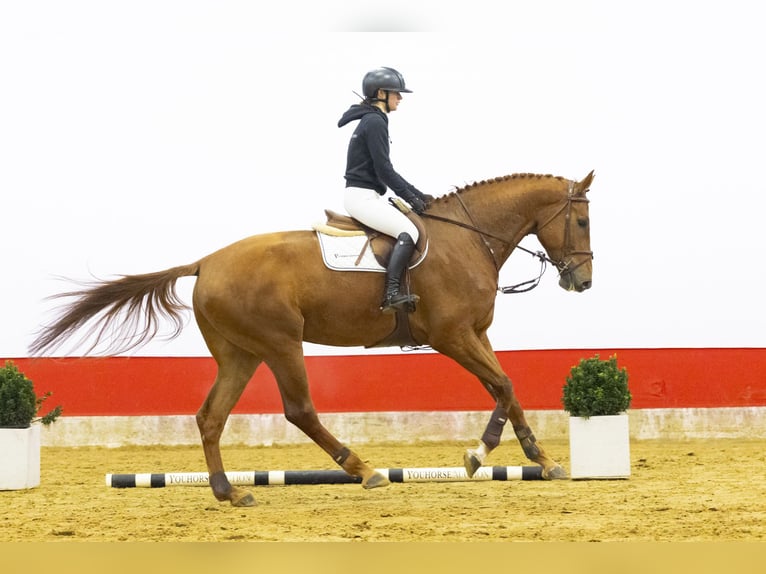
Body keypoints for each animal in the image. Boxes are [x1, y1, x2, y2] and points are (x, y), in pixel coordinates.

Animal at [30, 171, 594, 507]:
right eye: (584, 220)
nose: (582, 282)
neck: (467, 238)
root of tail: (206, 262)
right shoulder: (452, 336)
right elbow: (503, 384)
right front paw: (484, 454)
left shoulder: (475, 334)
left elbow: (507, 387)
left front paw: (536, 459)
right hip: (281, 344)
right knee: (299, 410)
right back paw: (363, 469)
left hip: (240, 353)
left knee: (211, 416)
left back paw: (229, 493)